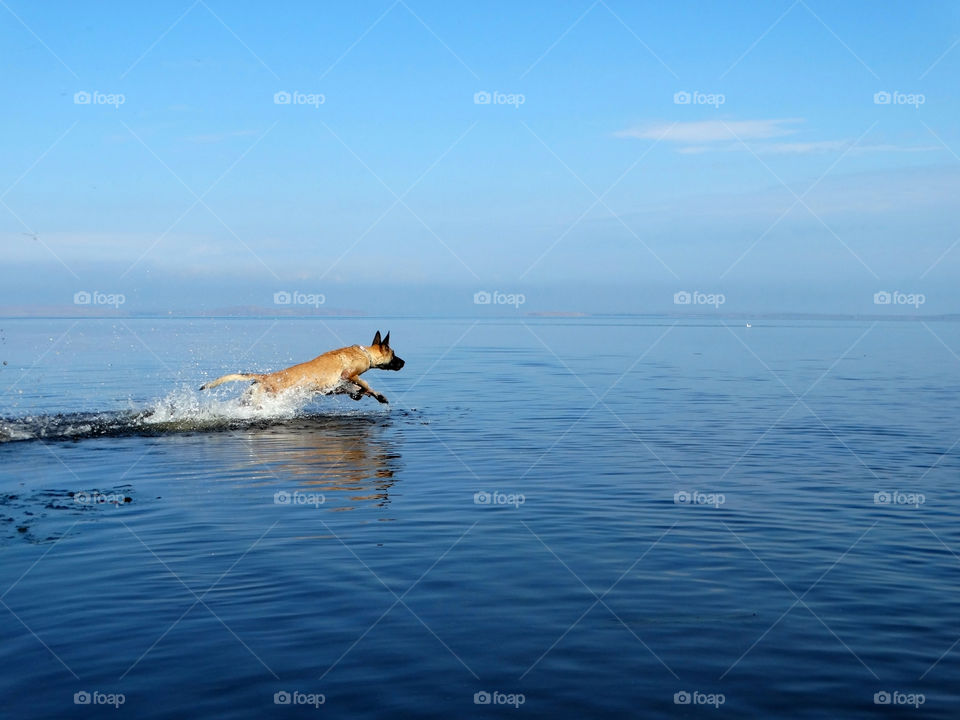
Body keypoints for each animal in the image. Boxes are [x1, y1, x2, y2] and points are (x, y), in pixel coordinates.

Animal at [199, 330, 402, 402]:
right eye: (393, 354)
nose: (404, 362)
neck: (366, 353)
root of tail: (265, 377)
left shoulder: (338, 385)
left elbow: (360, 388)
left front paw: (365, 395)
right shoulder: (349, 374)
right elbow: (365, 384)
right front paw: (375, 394)